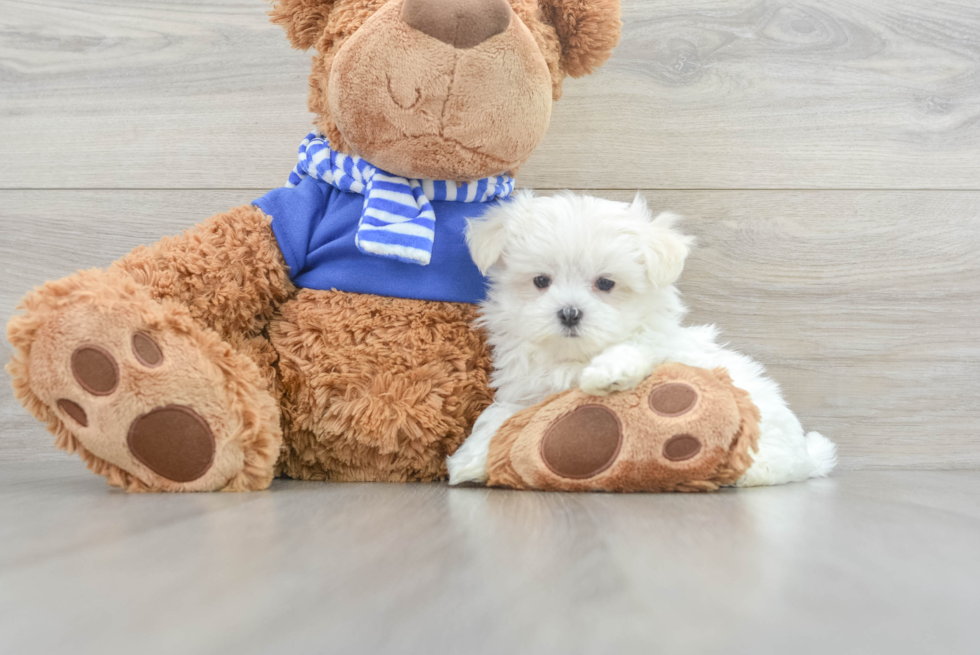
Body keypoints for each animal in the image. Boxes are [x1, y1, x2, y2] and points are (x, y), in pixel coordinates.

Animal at [448, 190, 840, 486]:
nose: (570, 313)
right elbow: (496, 418)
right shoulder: (524, 392)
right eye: (541, 281)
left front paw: (607, 374)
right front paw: (467, 459)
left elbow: (636, 349)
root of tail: (805, 457)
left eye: (606, 283)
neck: (574, 357)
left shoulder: (663, 347)